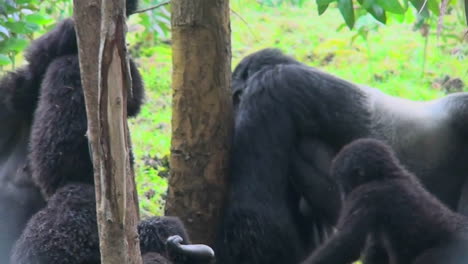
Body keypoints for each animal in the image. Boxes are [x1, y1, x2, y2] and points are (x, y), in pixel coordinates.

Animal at [302, 138, 468, 264]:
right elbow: (375, 248)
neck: (385, 175)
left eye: (341, 182)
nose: (343, 194)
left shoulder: (364, 195)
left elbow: (346, 243)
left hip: (449, 252)